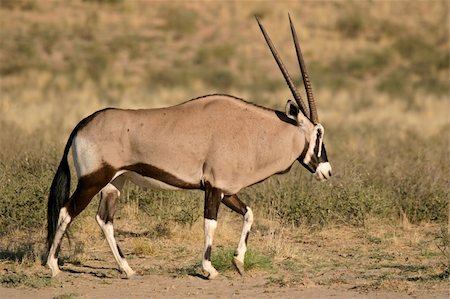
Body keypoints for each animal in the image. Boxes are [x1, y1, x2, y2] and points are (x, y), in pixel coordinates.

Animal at [47, 15, 332, 278]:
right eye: (318, 133)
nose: (327, 172)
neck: (250, 130)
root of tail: (83, 123)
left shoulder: (227, 190)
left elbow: (249, 213)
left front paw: (238, 262)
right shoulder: (214, 188)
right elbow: (210, 225)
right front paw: (209, 269)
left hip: (114, 183)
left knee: (104, 219)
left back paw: (127, 269)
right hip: (92, 180)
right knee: (66, 211)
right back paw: (53, 266)